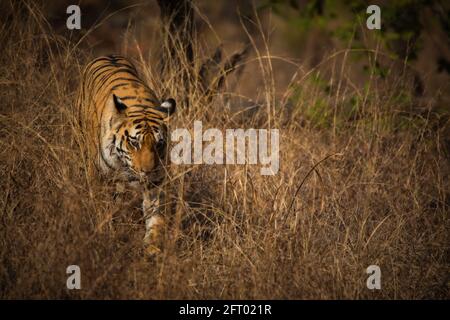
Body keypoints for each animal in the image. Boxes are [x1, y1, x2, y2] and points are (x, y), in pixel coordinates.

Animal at [76, 55, 177, 255]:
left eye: (159, 144)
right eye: (134, 142)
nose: (147, 171)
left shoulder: (156, 181)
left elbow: (155, 214)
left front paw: (152, 246)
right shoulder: (99, 176)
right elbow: (101, 207)